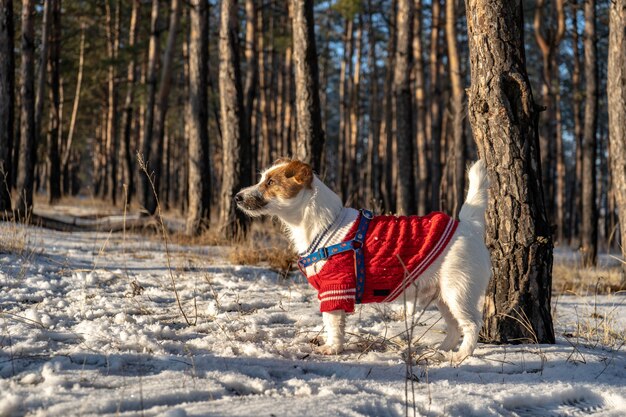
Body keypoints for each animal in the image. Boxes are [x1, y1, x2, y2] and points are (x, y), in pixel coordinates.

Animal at [235, 158, 492, 362]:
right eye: (263, 179)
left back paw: (461, 355)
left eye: (270, 182)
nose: (237, 196)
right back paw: (442, 349)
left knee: (471, 324)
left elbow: (332, 323)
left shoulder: (335, 289)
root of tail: (469, 227)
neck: (325, 225)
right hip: (443, 297)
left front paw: (332, 348)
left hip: (458, 292)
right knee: (454, 327)